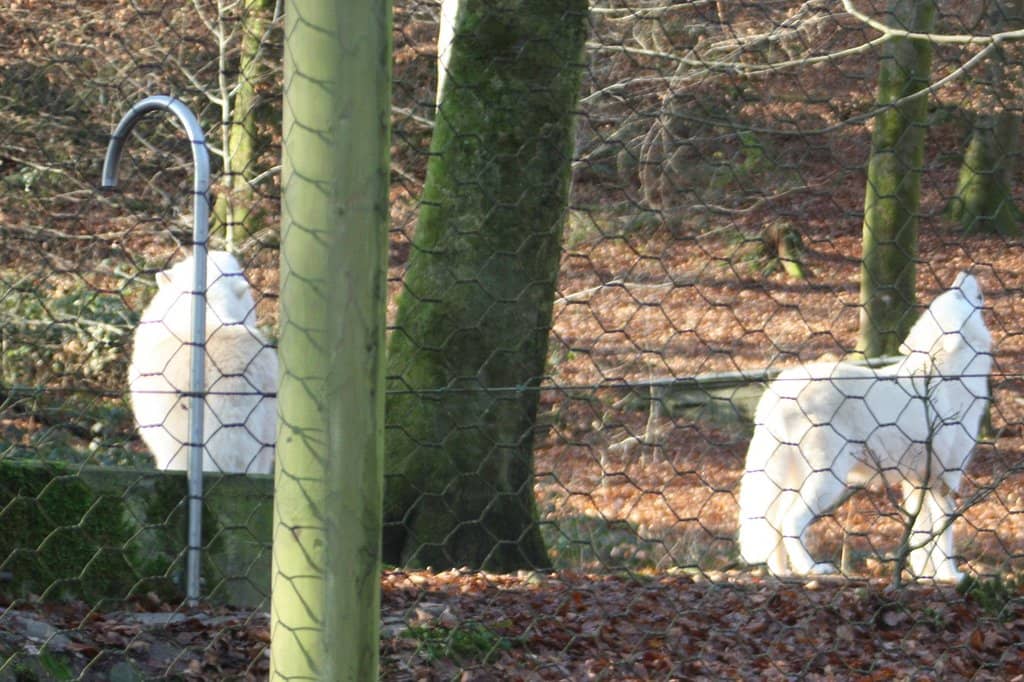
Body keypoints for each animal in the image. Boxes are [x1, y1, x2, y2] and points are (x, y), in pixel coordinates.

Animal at [737, 272, 992, 581]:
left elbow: (920, 537)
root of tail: (776, 391)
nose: (964, 274)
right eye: (956, 293)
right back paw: (813, 568)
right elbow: (943, 536)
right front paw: (950, 576)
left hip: (794, 480)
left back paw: (782, 571)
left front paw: (923, 575)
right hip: (828, 480)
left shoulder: (917, 483)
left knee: (773, 522)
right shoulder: (945, 480)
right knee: (790, 522)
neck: (948, 373)